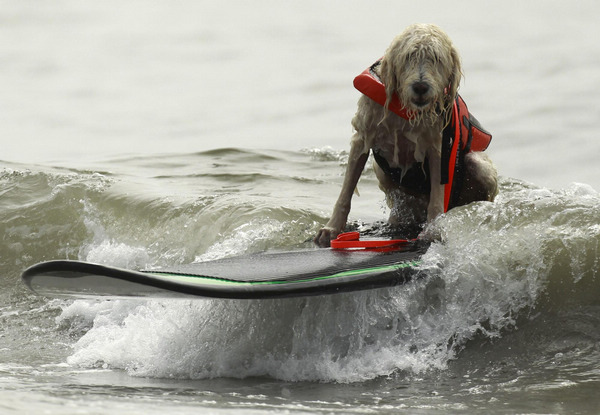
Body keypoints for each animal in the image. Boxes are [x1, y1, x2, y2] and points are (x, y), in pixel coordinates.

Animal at [314, 23, 496, 247]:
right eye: (409, 56)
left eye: (436, 58)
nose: (420, 86)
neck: (405, 109)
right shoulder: (363, 137)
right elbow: (346, 191)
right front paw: (332, 229)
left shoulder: (438, 147)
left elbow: (437, 197)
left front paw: (433, 231)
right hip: (382, 173)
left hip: (478, 167)